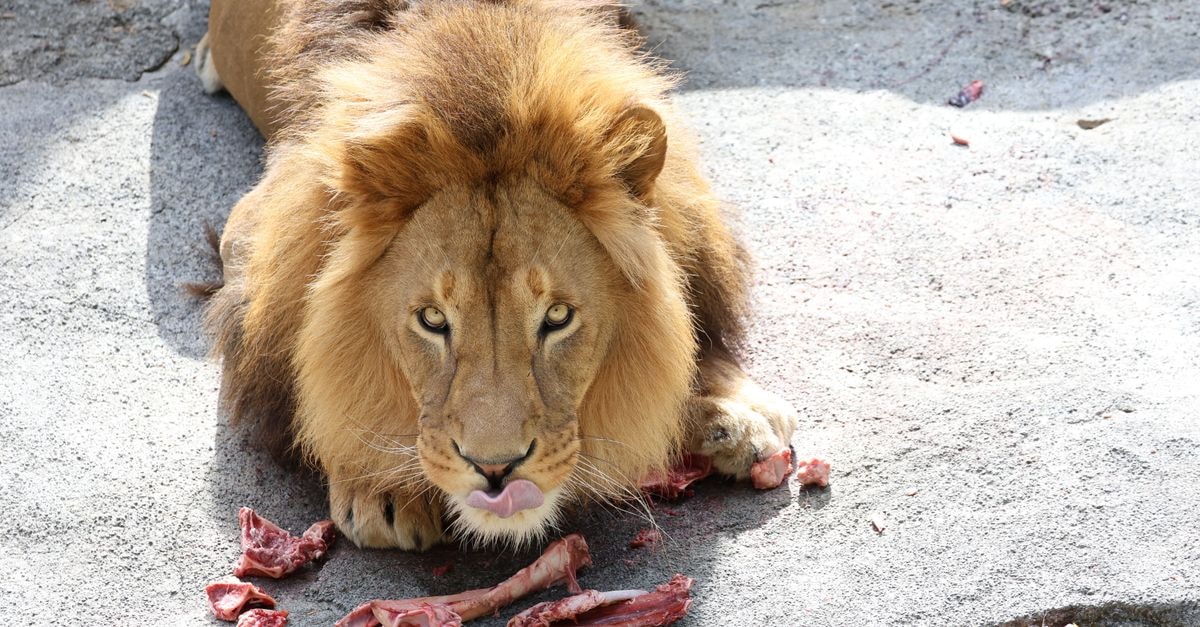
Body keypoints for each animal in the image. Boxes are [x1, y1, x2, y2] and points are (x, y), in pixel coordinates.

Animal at [197, 0, 798, 550]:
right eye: (432, 319)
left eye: (557, 316)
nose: (495, 471)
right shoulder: (247, 228)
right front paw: (379, 486)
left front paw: (732, 410)